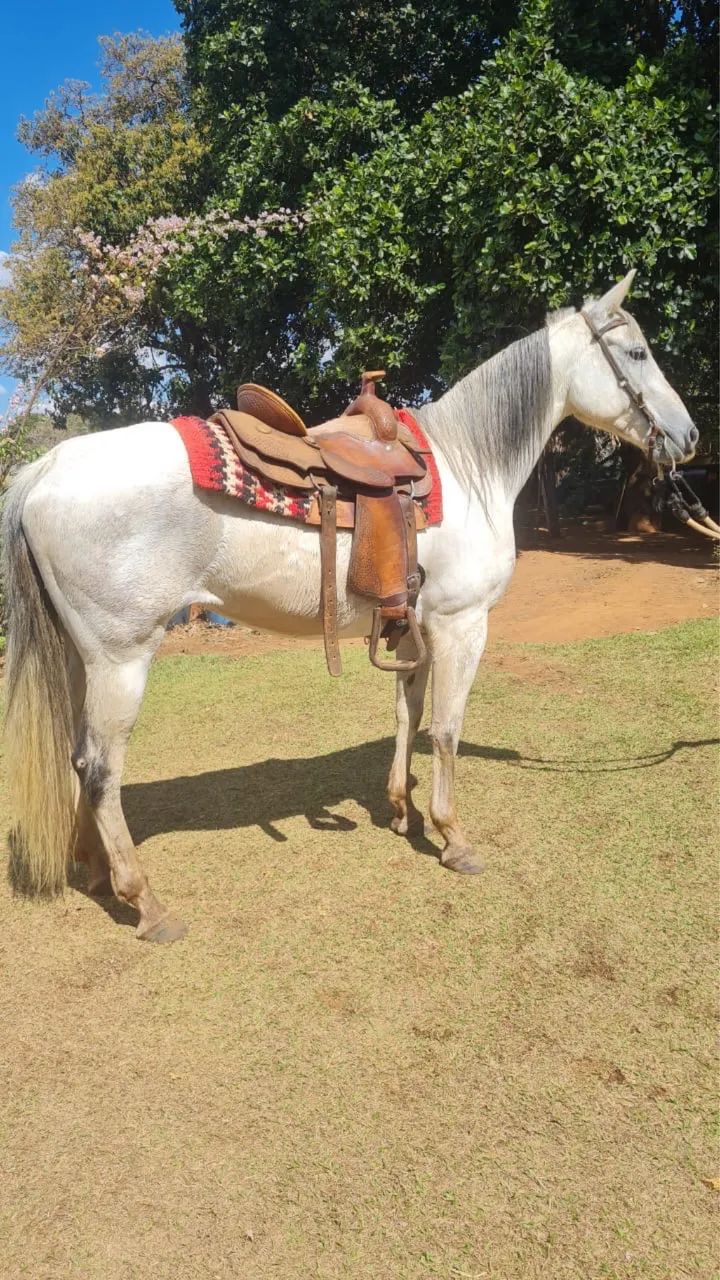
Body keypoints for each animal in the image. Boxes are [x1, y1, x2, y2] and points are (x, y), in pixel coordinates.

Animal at [2, 271, 698, 942]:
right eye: (636, 352)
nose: (688, 436)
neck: (468, 466)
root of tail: (43, 469)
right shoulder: (461, 625)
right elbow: (446, 728)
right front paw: (453, 837)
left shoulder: (414, 627)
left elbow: (407, 716)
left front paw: (401, 812)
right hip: (122, 659)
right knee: (100, 768)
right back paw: (145, 902)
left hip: (82, 657)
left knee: (77, 757)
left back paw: (96, 871)